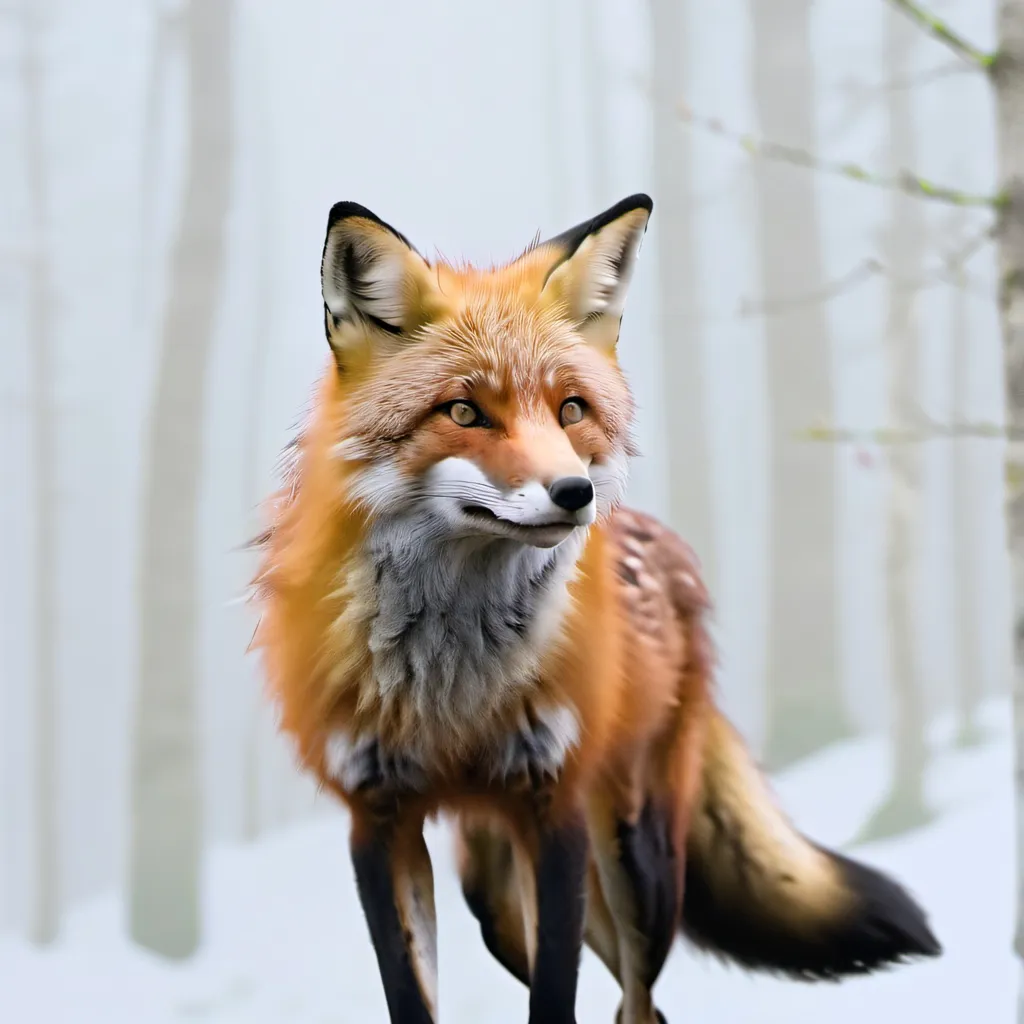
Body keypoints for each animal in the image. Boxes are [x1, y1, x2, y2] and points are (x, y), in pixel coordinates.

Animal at [250, 193, 941, 1024]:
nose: (574, 493)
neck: (452, 684)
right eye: (464, 412)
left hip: (635, 858)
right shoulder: (378, 820)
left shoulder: (556, 808)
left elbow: (556, 1002)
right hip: (494, 895)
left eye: (571, 408)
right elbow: (414, 998)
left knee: (639, 1002)